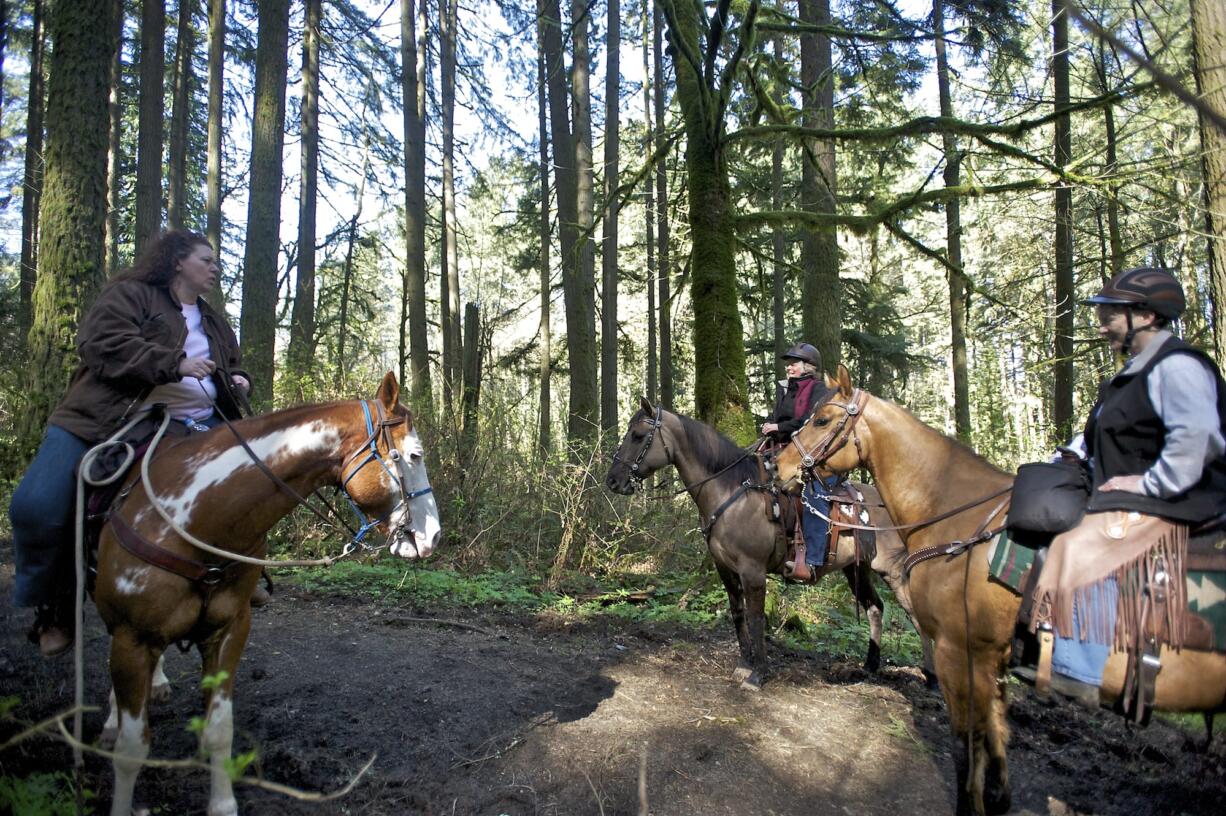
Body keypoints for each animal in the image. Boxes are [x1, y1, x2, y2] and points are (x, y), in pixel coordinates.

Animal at [95, 370, 441, 813]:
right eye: (413, 456)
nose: (434, 535)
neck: (190, 517)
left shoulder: (229, 630)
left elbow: (219, 729)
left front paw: (223, 803)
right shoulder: (133, 636)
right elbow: (130, 748)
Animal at [603, 396, 926, 691]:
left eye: (638, 436)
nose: (613, 481)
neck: (732, 492)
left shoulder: (753, 570)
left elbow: (756, 617)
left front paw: (758, 673)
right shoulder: (725, 568)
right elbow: (738, 613)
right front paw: (745, 663)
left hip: (894, 571)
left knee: (915, 615)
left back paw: (930, 679)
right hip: (857, 569)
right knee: (875, 608)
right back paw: (869, 666)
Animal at [774, 367, 1226, 813]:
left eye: (823, 420)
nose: (780, 467)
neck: (957, 516)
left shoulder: (963, 649)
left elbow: (966, 742)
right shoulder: (992, 654)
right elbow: (995, 728)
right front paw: (999, 795)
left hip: (892, 578)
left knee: (903, 618)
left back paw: (921, 673)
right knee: (876, 609)